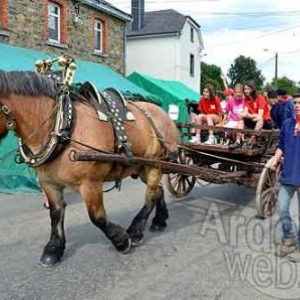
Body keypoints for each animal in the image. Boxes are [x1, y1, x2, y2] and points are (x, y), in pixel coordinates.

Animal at [0, 70, 178, 268]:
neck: (64, 127)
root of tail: (164, 114)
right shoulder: (49, 183)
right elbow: (56, 214)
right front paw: (54, 249)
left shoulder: (90, 183)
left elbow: (97, 217)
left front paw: (121, 240)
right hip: (141, 168)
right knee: (158, 191)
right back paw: (159, 221)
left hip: (155, 163)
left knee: (151, 195)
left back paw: (136, 229)